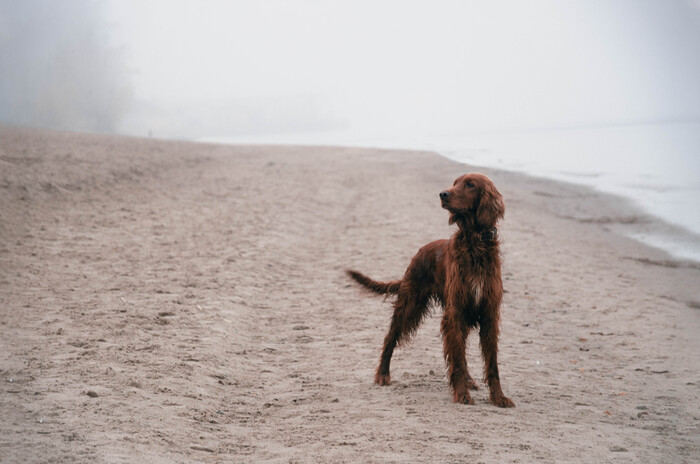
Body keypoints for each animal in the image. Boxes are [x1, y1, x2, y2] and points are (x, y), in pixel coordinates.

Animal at [346, 173, 516, 406]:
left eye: (470, 184)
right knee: (390, 337)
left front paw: (498, 397)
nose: (443, 194)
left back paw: (469, 380)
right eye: (454, 183)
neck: (475, 244)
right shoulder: (455, 312)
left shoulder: (489, 314)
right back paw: (382, 374)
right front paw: (461, 394)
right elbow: (458, 359)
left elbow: (491, 364)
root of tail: (420, 251)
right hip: (410, 304)